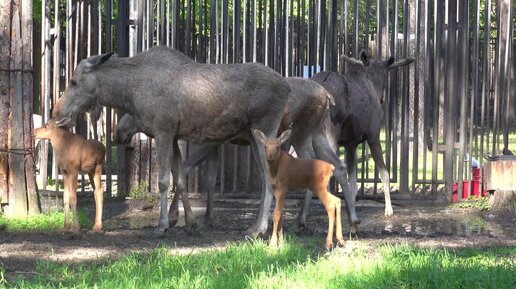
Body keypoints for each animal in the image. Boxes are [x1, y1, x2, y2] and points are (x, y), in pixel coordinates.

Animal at [55, 45, 294, 236]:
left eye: (74, 81)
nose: (58, 112)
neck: (129, 92)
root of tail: (287, 87)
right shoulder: (174, 136)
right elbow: (179, 179)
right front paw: (190, 223)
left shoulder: (163, 131)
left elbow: (163, 181)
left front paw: (162, 226)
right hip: (253, 136)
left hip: (264, 128)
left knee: (269, 178)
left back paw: (258, 229)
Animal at [294, 50, 416, 228]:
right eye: (387, 73)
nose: (383, 98)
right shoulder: (373, 136)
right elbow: (384, 173)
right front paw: (388, 210)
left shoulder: (350, 144)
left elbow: (353, 182)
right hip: (329, 133)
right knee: (331, 167)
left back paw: (302, 217)